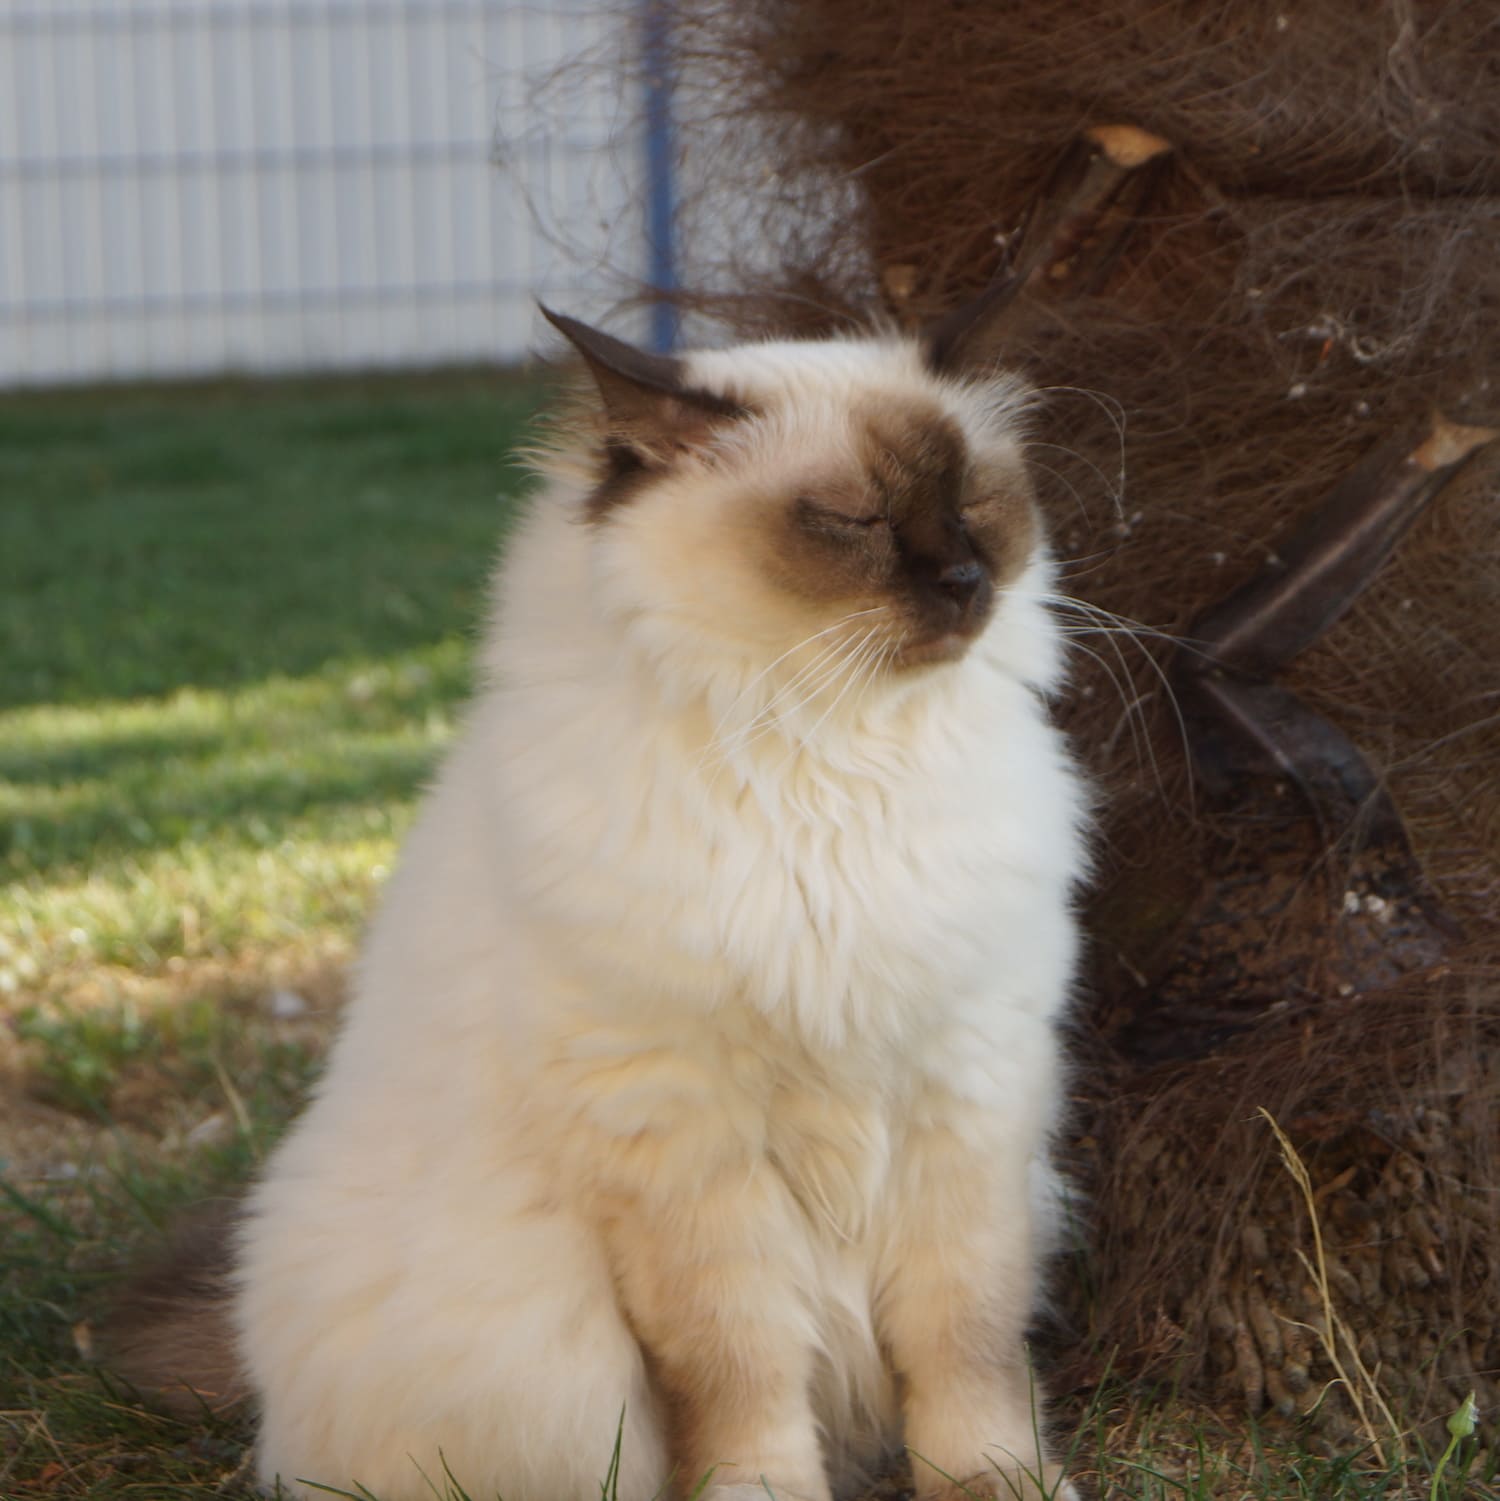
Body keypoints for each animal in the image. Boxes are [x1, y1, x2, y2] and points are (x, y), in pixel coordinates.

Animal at [123, 307, 1087, 1501]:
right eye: (850, 518)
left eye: (976, 502)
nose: (962, 576)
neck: (827, 756)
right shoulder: (681, 1135)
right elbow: (740, 1370)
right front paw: (764, 1492)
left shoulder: (966, 1089)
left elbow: (964, 1343)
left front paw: (998, 1481)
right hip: (536, 1341)